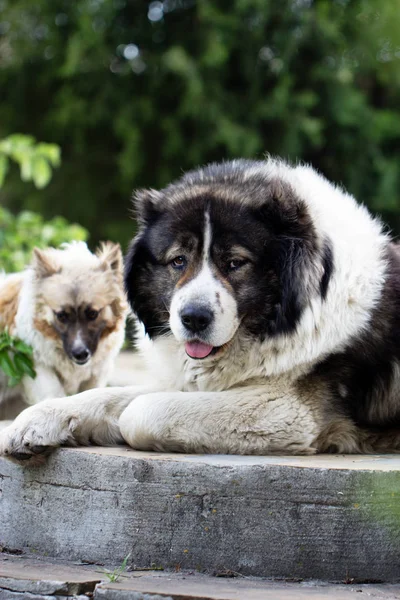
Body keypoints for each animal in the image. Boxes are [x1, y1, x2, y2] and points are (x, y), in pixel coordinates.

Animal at [0, 157, 400, 462]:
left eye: (235, 263)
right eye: (178, 260)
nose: (193, 318)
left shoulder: (290, 411)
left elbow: (140, 411)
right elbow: (100, 397)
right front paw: (32, 422)